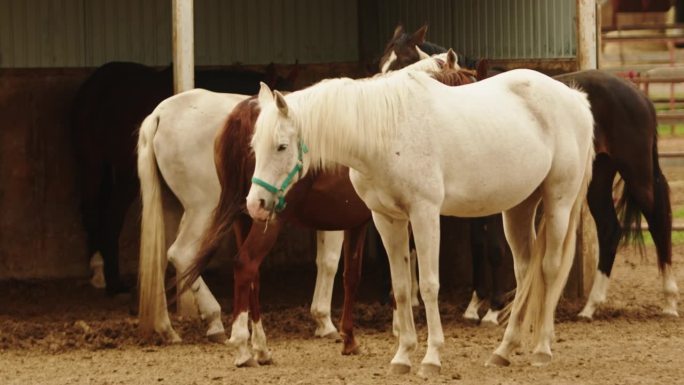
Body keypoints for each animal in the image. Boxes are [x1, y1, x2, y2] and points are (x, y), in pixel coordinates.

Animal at [135, 89, 348, 344]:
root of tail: (160, 114)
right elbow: (329, 262)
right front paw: (325, 322)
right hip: (203, 210)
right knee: (182, 254)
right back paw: (214, 320)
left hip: (172, 209)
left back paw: (167, 329)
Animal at [246, 67, 592, 374]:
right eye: (254, 146)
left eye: (281, 146)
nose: (256, 204)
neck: (385, 133)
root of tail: (575, 99)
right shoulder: (387, 219)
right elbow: (401, 288)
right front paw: (402, 356)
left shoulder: (425, 214)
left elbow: (427, 285)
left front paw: (431, 358)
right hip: (519, 207)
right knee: (525, 271)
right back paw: (503, 351)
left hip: (558, 202)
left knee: (548, 269)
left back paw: (542, 349)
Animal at [380, 24, 680, 318]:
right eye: (382, 63)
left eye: (404, 60)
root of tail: (638, 94)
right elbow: (477, 245)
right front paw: (474, 305)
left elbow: (495, 248)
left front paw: (493, 308)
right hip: (598, 178)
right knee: (609, 229)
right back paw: (590, 307)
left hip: (637, 172)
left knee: (657, 220)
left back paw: (669, 301)